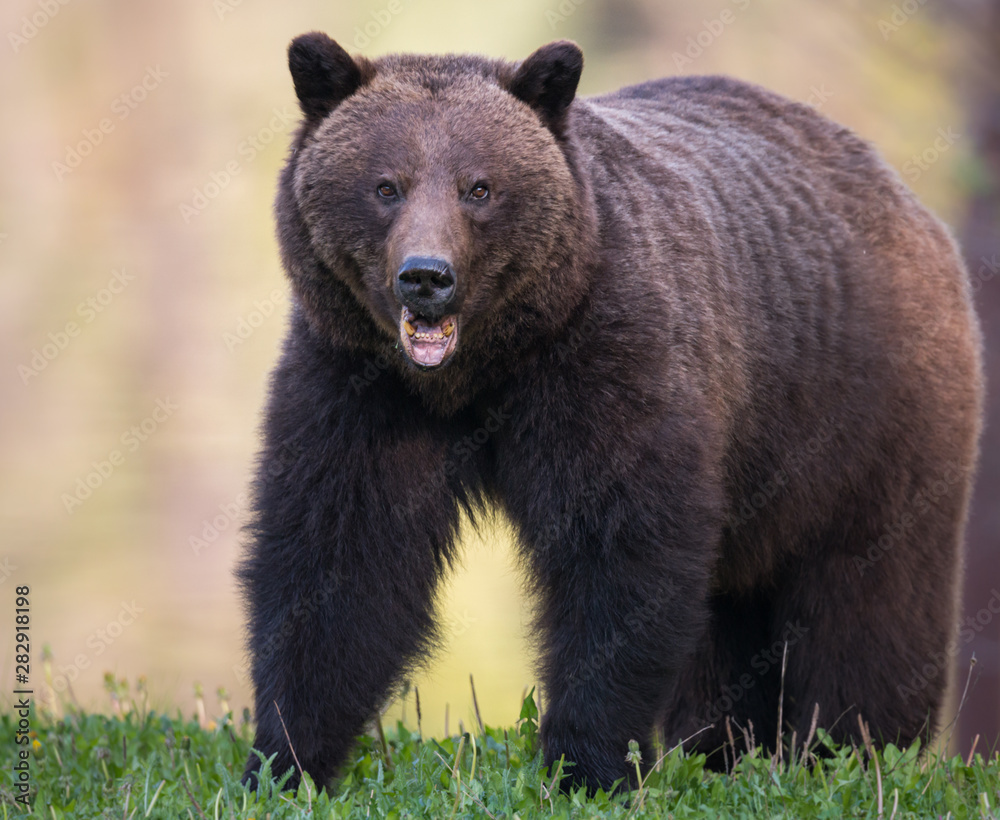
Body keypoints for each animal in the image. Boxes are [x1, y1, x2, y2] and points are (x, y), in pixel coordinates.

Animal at [236, 33, 984, 796]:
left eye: (480, 186)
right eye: (386, 185)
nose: (426, 276)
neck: (482, 368)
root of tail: (904, 197)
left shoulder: (607, 359)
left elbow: (618, 555)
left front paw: (588, 764)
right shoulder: (359, 382)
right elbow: (338, 556)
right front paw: (286, 759)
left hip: (864, 413)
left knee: (869, 592)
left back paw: (851, 751)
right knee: (732, 612)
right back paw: (725, 750)